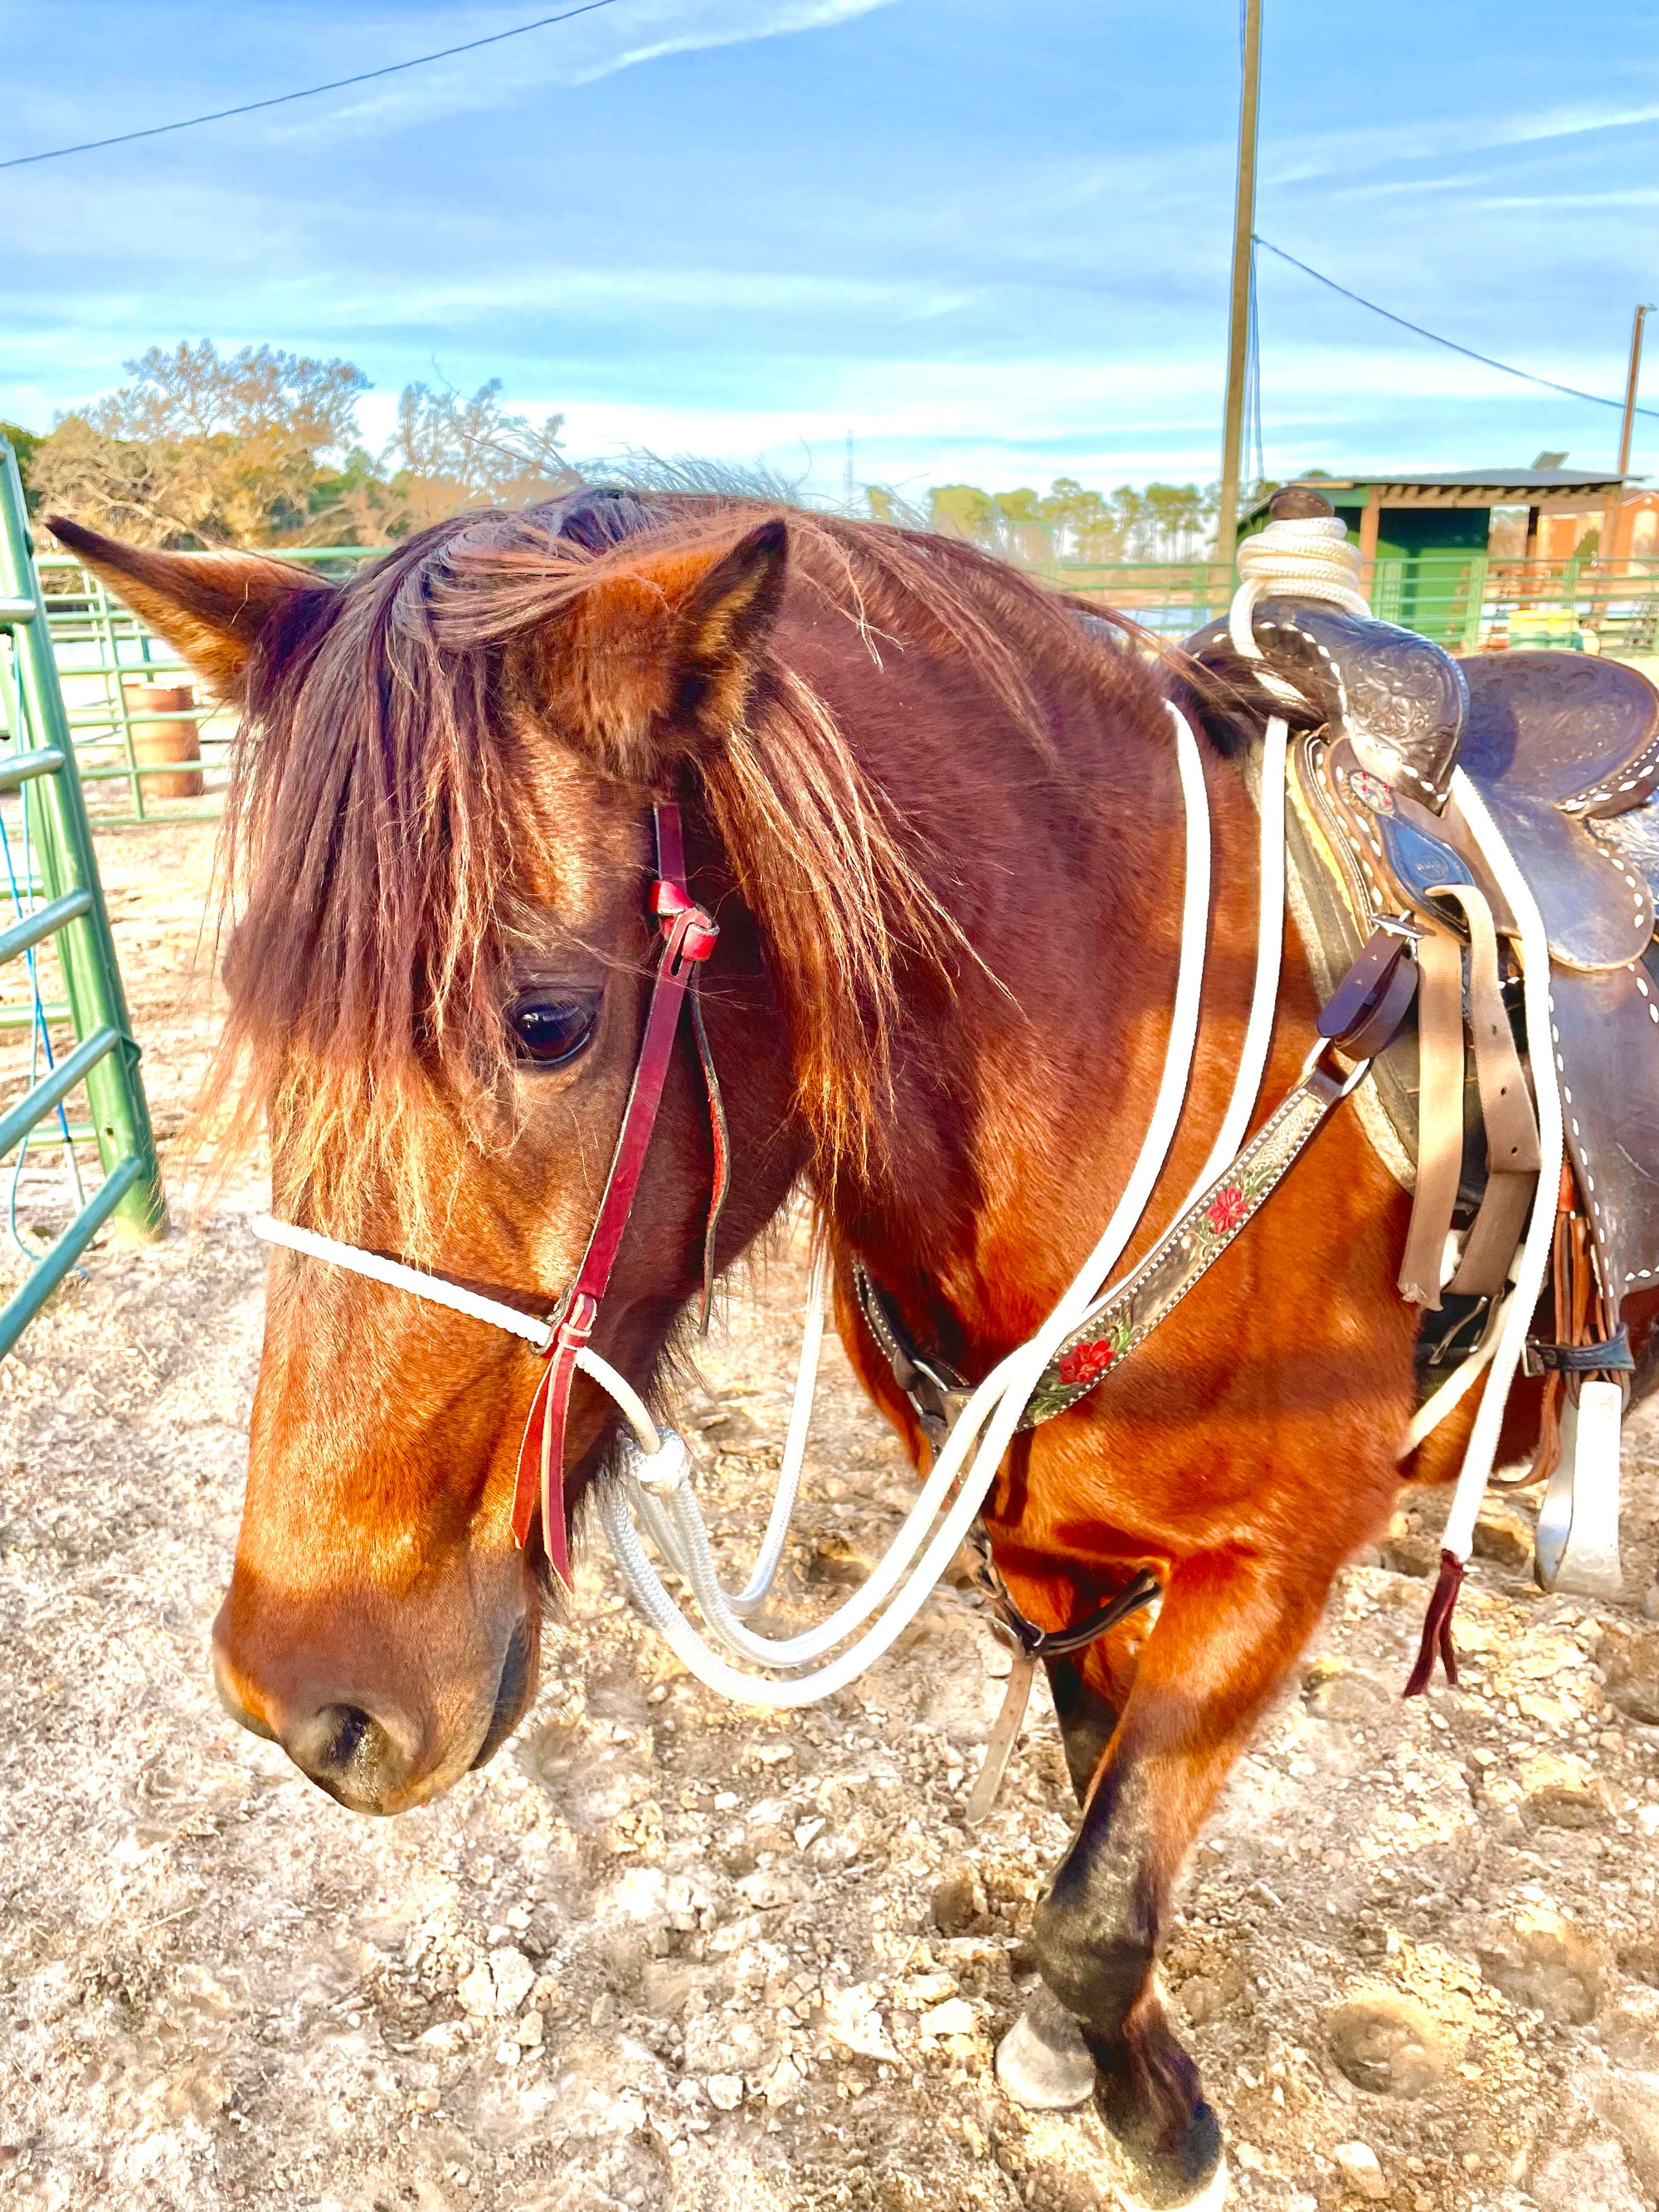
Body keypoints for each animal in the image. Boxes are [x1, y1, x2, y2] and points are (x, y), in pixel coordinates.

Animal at [51, 493, 1557, 2203]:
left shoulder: (1277, 1562)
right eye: (262, 1007)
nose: (304, 1695)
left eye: (549, 1021)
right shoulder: (1051, 1546)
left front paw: (1139, 2094)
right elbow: (1098, 1794)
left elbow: (1103, 1899)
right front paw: (1113, 2045)